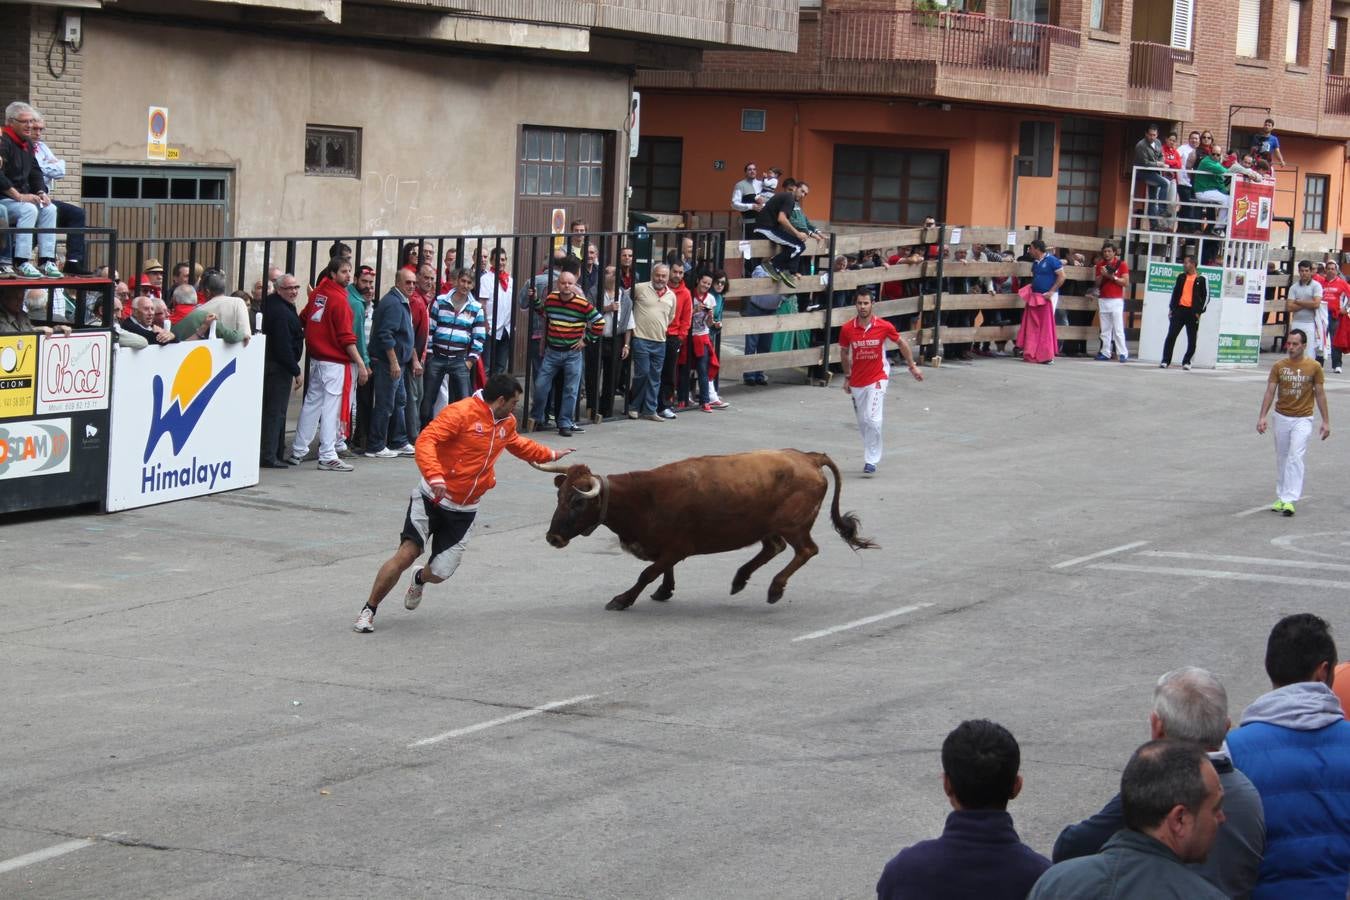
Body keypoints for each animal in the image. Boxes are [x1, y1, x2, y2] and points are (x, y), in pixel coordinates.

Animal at [531, 450, 880, 612]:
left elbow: (648, 573)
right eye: (559, 497)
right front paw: (665, 591)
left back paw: (774, 589)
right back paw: (740, 579)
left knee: (806, 550)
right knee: (774, 548)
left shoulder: (677, 547)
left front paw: (622, 599)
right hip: (767, 525)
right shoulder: (667, 548)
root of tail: (808, 457)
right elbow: (662, 570)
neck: (643, 497)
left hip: (794, 525)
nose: (552, 537)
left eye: (577, 501)